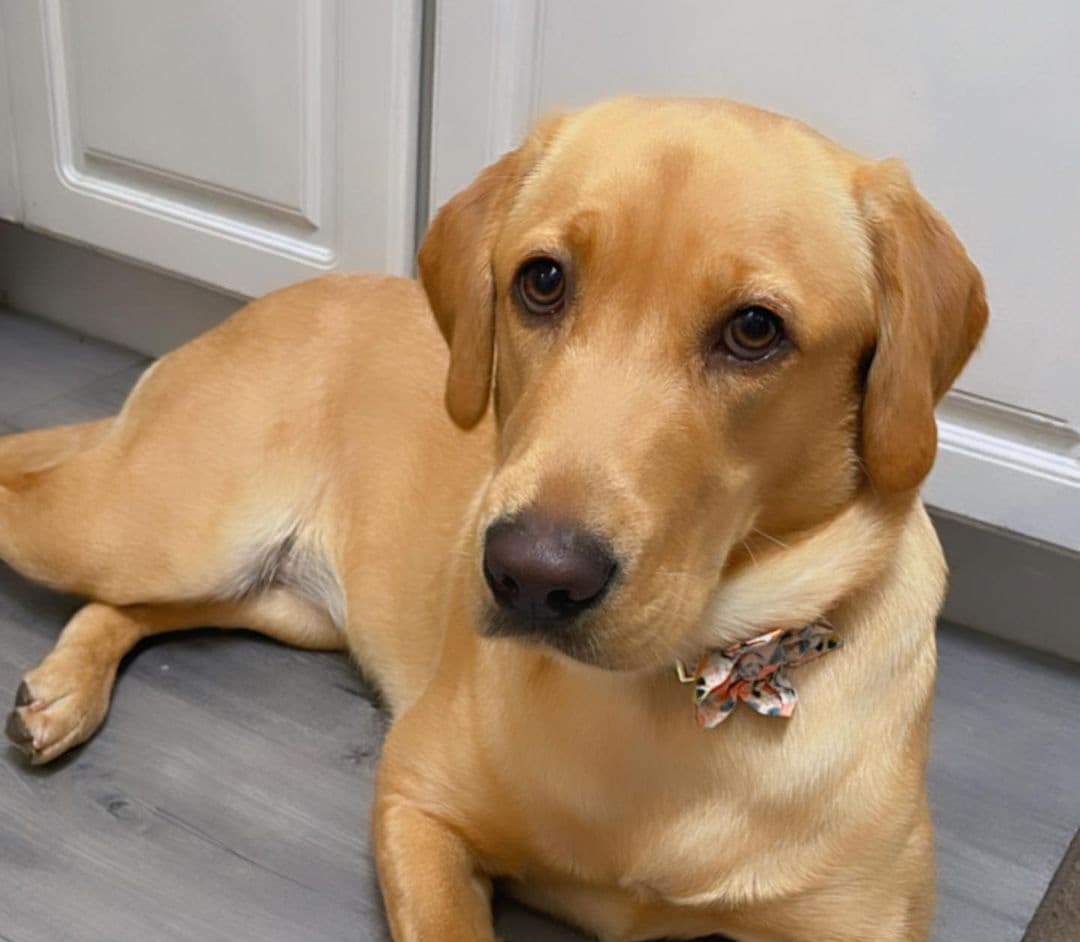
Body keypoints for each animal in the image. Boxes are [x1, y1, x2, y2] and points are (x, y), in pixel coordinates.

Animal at [2, 99, 989, 937]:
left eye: (755, 330)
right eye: (542, 281)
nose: (532, 575)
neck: (676, 693)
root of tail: (266, 302)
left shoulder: (865, 924)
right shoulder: (415, 798)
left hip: (277, 598)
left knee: (123, 604)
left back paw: (63, 688)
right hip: (155, 527)